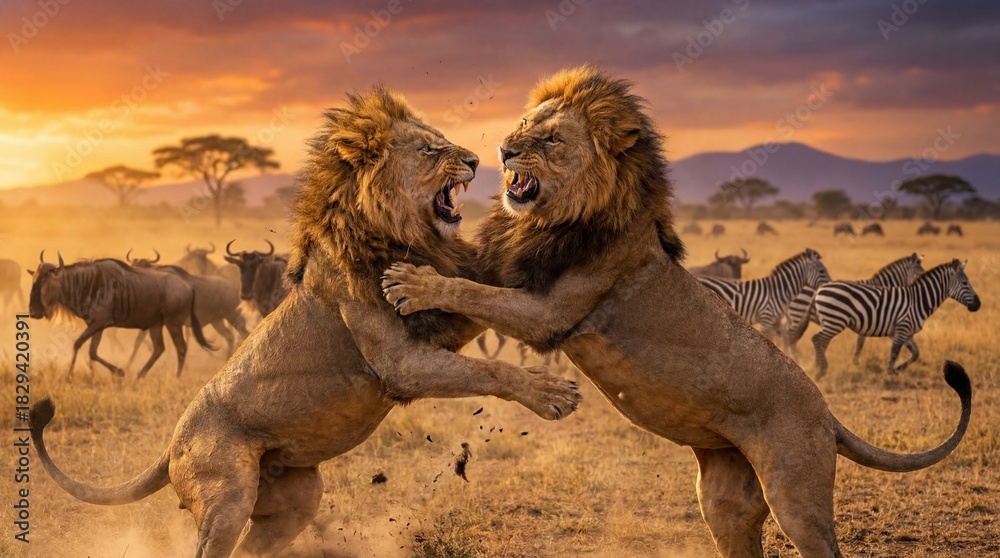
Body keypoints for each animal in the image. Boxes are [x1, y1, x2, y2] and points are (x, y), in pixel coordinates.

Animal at [31, 87, 582, 558]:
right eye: (429, 149)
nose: (473, 161)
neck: (397, 233)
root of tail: (169, 448)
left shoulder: (443, 319)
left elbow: (483, 297)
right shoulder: (399, 364)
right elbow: (488, 369)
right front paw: (550, 393)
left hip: (295, 499)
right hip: (226, 496)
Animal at [783, 253, 925, 354]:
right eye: (919, 273)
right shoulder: (869, 319)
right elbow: (860, 343)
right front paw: (855, 363)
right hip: (798, 313)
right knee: (789, 336)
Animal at [805, 259, 980, 377]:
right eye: (965, 283)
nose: (978, 304)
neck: (918, 300)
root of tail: (820, 288)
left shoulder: (908, 332)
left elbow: (916, 353)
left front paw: (899, 368)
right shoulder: (902, 327)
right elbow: (895, 351)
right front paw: (890, 372)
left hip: (830, 321)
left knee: (821, 341)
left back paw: (817, 366)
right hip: (835, 320)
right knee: (817, 339)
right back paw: (821, 369)